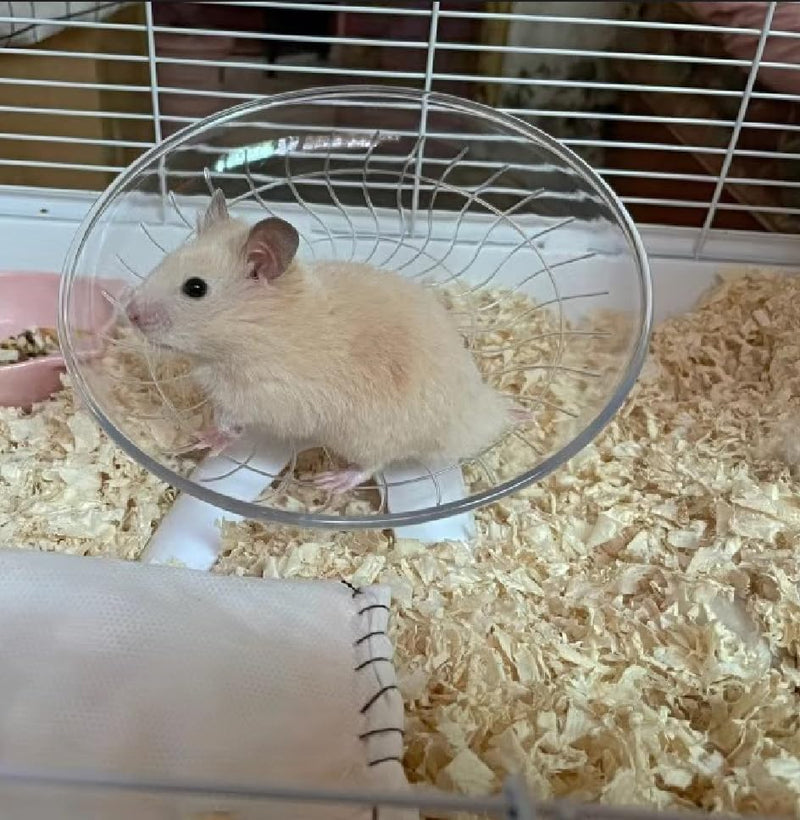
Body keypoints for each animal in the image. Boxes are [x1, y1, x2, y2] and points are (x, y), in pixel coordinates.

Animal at [124, 189, 521, 493]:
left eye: (195, 288)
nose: (129, 312)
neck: (257, 330)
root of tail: (479, 411)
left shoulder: (261, 396)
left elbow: (230, 424)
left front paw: (204, 439)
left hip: (369, 435)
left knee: (373, 464)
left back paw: (332, 482)